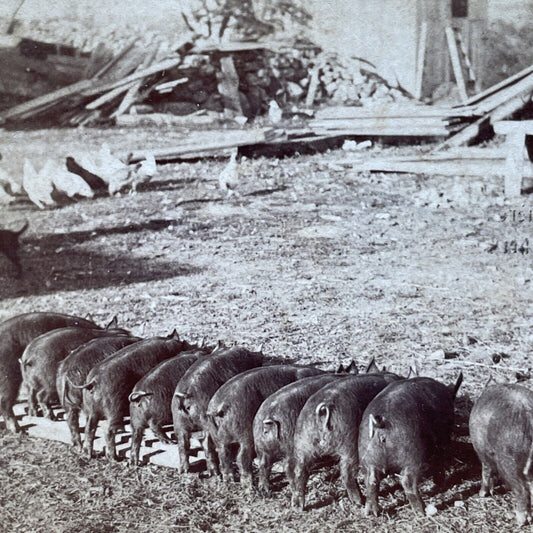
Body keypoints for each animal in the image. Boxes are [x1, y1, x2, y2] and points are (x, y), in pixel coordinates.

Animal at [79, 328, 191, 458]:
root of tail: (94, 381)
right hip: (113, 409)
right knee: (108, 431)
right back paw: (114, 457)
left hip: (91, 409)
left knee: (89, 428)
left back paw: (87, 454)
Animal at [172, 344, 262, 474]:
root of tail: (185, 396)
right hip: (205, 422)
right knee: (207, 444)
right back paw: (214, 472)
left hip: (178, 421)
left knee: (182, 444)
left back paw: (183, 471)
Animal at [290, 372, 400, 510]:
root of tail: (322, 409)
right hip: (349, 443)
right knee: (347, 473)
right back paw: (359, 501)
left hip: (302, 443)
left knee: (299, 471)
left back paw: (297, 507)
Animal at [358, 374, 462, 516]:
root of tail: (381, 424)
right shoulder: (444, 438)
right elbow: (440, 461)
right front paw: (440, 483)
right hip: (412, 454)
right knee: (407, 481)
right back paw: (422, 512)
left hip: (367, 455)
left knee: (371, 480)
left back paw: (371, 513)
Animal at [470, 382, 533, 524]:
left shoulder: (481, 448)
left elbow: (485, 470)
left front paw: (482, 494)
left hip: (509, 460)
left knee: (522, 489)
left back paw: (520, 520)